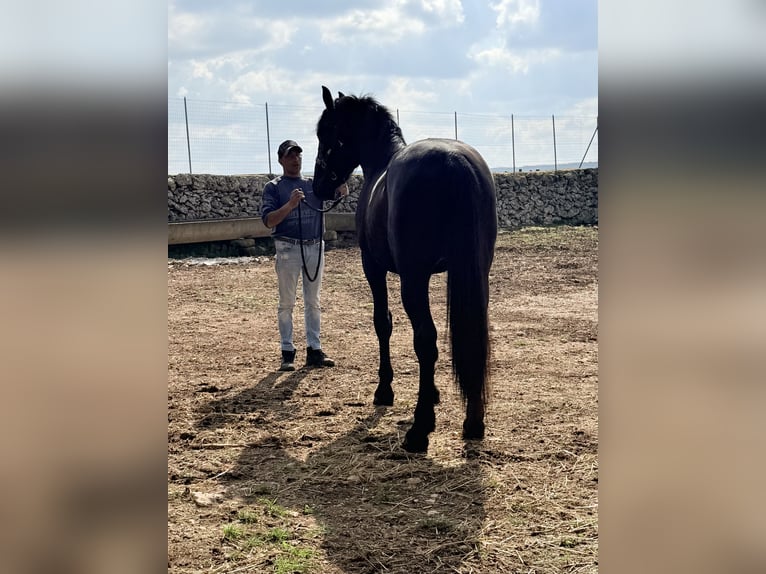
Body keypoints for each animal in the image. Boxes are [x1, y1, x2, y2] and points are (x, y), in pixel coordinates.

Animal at [312, 86, 497, 453]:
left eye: (325, 133)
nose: (317, 186)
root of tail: (455, 162)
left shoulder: (373, 267)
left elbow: (382, 323)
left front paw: (384, 391)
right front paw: (435, 393)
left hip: (413, 279)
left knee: (425, 340)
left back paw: (419, 429)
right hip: (476, 274)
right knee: (474, 337)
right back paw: (473, 422)